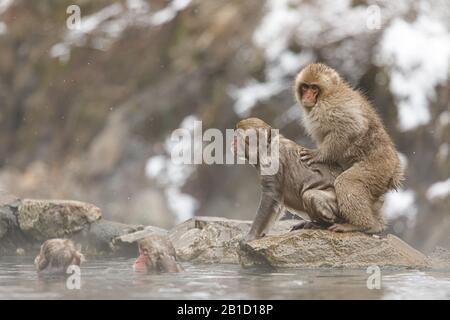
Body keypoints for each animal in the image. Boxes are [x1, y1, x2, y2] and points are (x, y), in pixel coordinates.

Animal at [294, 62, 402, 232]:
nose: (307, 97)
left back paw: (359, 225)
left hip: (379, 168)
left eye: (314, 88)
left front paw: (320, 154)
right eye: (305, 87)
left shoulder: (332, 106)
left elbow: (350, 127)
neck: (329, 93)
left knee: (347, 182)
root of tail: (395, 171)